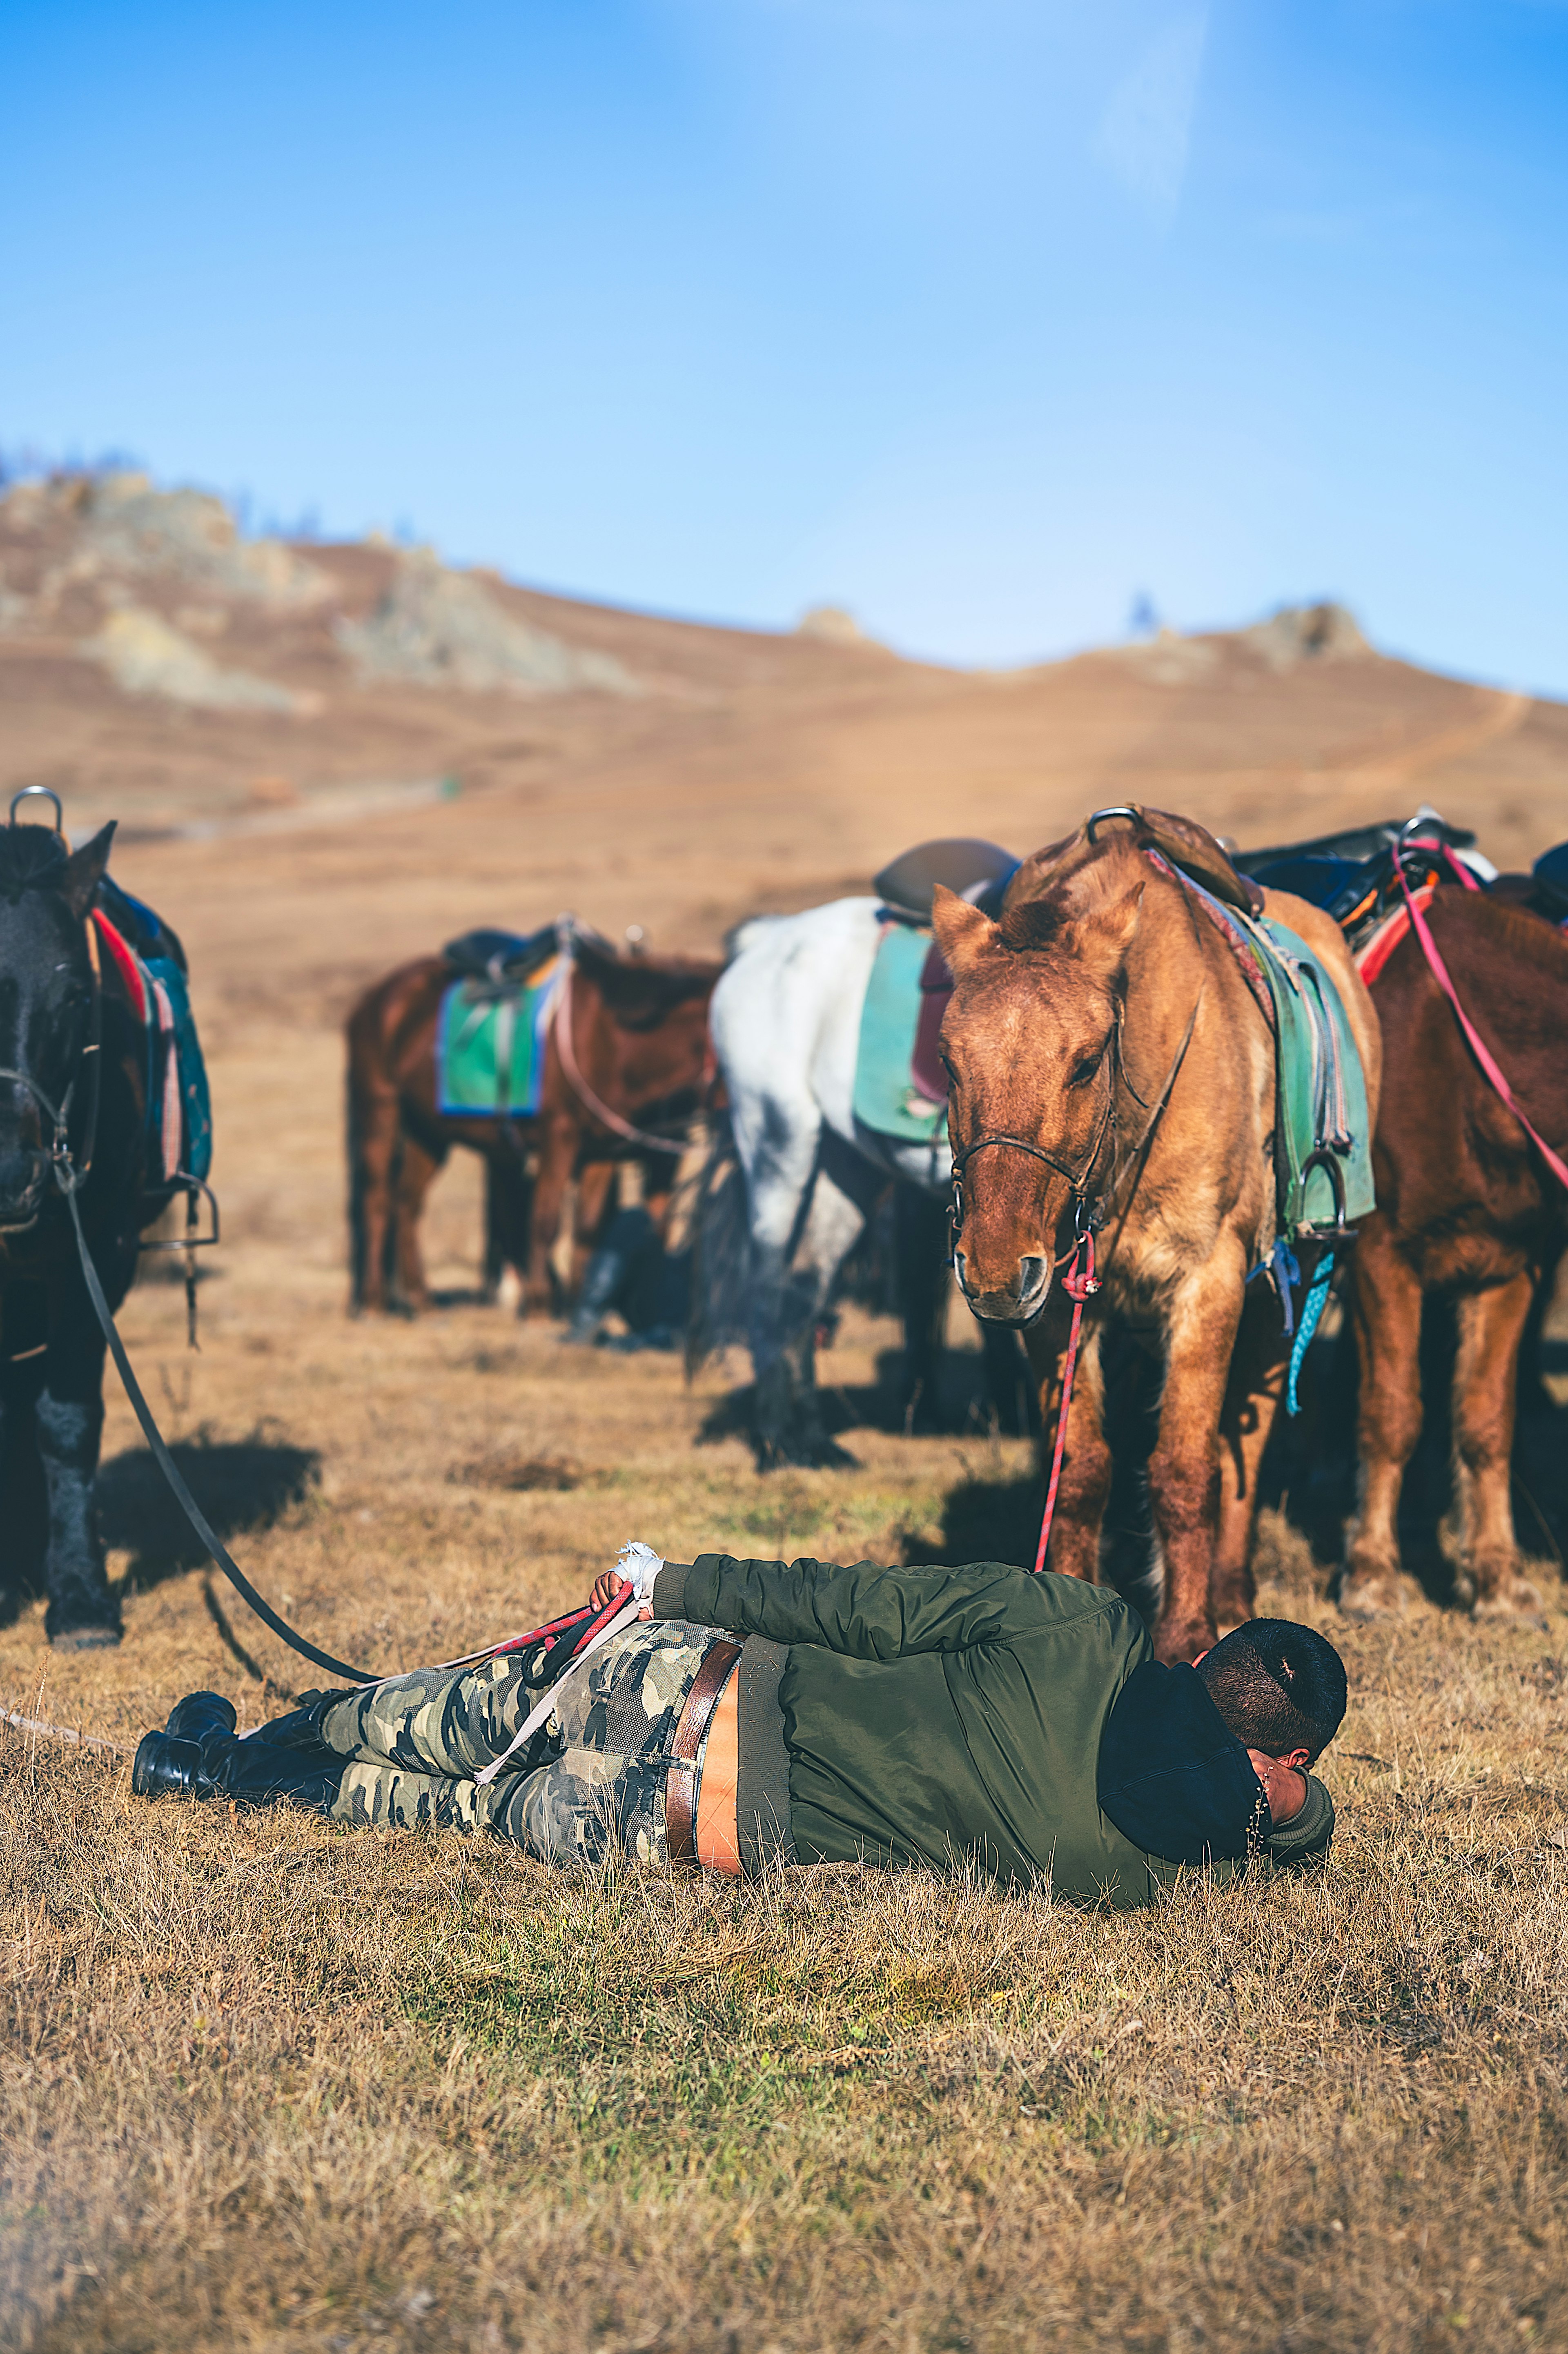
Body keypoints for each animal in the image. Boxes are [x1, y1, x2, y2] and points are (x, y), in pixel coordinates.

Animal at [346, 927, 715, 1318]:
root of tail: (377, 998)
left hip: (429, 1134)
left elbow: (589, 1227)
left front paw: (576, 1302)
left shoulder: (603, 1154)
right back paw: (374, 1301)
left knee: (408, 1204)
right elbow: (545, 1218)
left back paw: (421, 1298)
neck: (607, 1038)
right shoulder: (559, 1140)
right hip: (381, 1113)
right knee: (377, 1201)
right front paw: (540, 1304)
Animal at [702, 847, 1022, 1469]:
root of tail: (767, 941)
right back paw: (775, 1439)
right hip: (780, 1141)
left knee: (805, 1285)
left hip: (845, 1165)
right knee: (768, 1285)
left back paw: (811, 1441)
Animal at [927, 819, 1384, 1666]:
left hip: (1287, 1283)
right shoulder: (1055, 1307)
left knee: (1247, 1439)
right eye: (947, 1061)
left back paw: (1231, 1593)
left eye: (1084, 1063)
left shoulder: (1207, 1284)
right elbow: (1081, 1473)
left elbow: (1184, 1467)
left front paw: (1188, 1636)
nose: (995, 1272)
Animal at [1327, 890, 1563, 1629]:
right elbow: (1392, 1413)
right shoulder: (1381, 1259)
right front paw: (1372, 1576)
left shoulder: (1507, 1269)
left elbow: (1487, 1422)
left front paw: (1498, 1581)